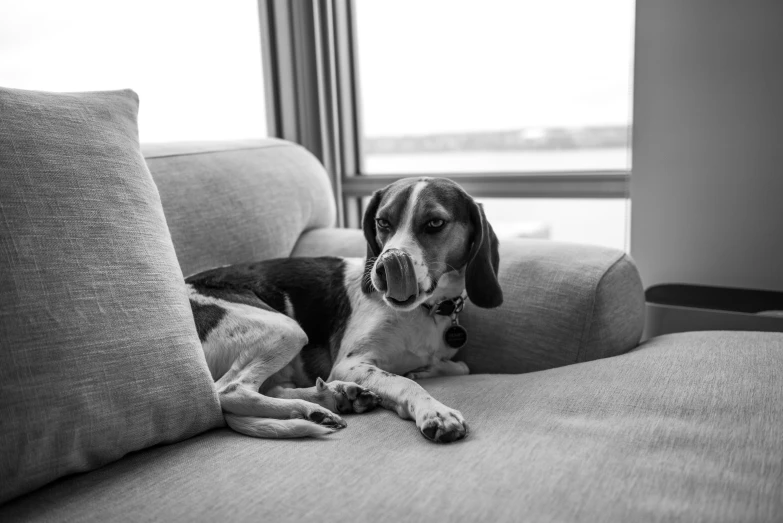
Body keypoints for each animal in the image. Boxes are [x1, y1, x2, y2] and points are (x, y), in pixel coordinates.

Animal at [187, 177, 502, 442]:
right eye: (382, 222)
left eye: (435, 223)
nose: (384, 268)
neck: (424, 310)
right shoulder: (349, 364)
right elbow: (403, 382)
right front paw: (434, 411)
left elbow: (459, 366)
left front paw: (421, 371)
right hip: (286, 330)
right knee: (230, 391)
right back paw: (311, 408)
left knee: (271, 388)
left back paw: (334, 397)